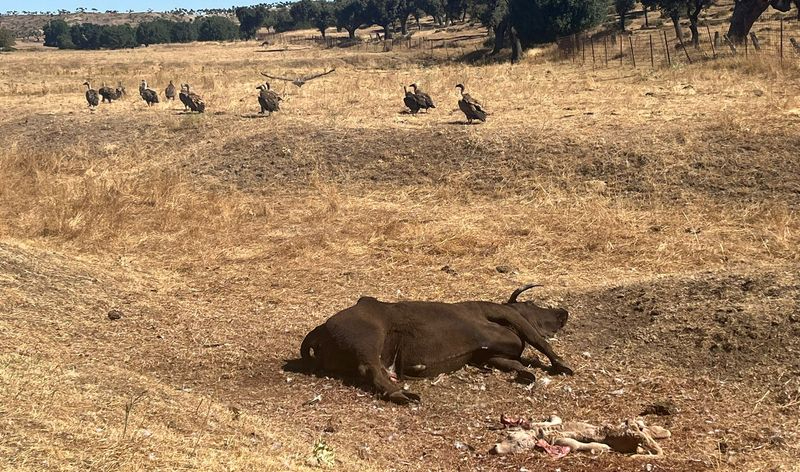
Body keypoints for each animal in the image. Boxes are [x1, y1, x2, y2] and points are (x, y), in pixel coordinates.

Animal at [299, 284, 574, 404]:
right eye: (532, 303)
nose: (563, 312)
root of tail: (321, 328)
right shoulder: (507, 316)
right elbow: (539, 341)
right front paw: (561, 365)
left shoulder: (488, 356)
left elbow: (514, 363)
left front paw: (525, 372)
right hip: (369, 339)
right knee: (370, 369)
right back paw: (401, 394)